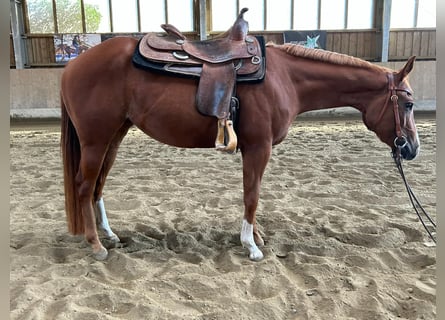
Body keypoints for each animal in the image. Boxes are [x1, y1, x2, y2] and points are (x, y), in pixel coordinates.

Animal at [59, 38, 420, 262]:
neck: (285, 78)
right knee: (84, 186)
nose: (413, 148)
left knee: (98, 186)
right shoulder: (259, 148)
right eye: (408, 104)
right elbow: (252, 195)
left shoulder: (256, 149)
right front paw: (251, 246)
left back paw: (109, 235)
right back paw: (96, 245)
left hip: (114, 137)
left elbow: (253, 193)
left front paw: (256, 236)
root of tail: (73, 67)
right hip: (96, 140)